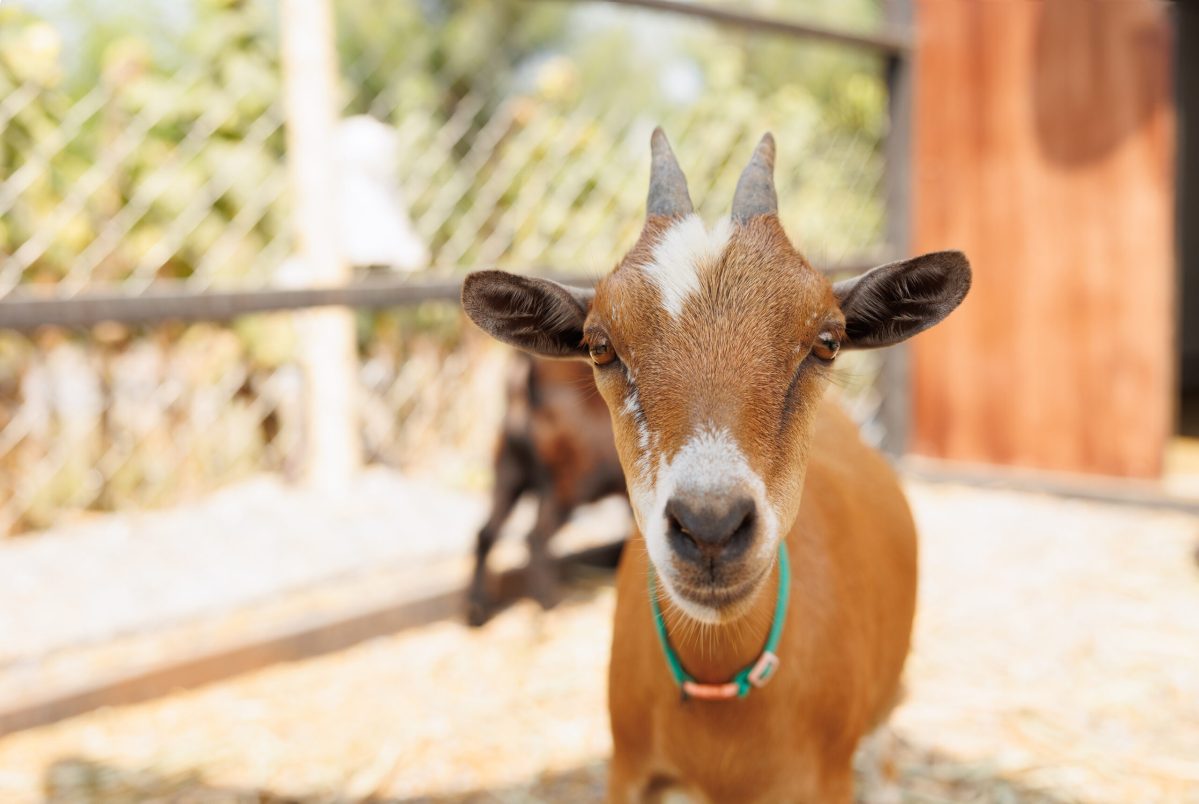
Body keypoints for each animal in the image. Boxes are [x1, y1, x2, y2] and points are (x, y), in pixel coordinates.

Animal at [468, 351, 626, 626]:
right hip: (565, 488)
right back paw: (549, 603)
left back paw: (478, 609)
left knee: (486, 533)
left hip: (509, 476)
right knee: (535, 538)